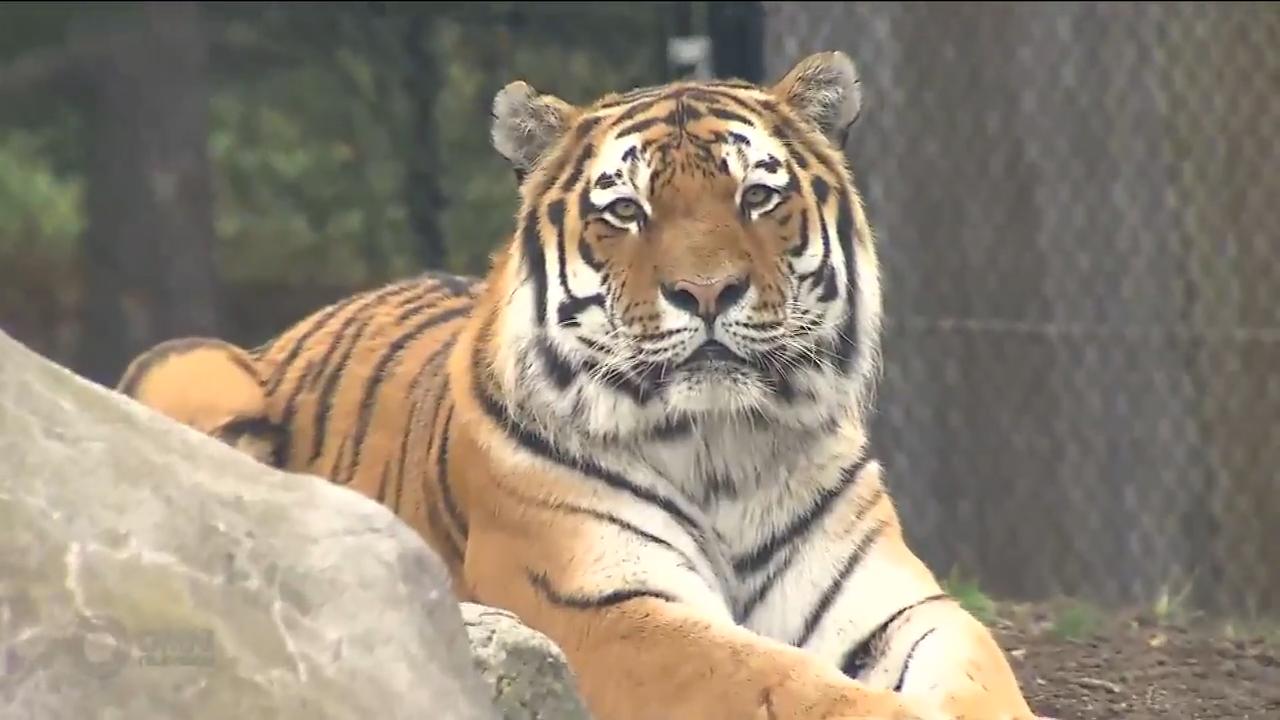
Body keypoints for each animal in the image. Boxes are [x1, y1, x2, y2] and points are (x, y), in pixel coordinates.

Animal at [117, 52, 1041, 720]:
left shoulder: (896, 606)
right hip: (189, 367)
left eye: (757, 196)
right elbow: (783, 685)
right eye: (625, 211)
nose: (708, 292)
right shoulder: (597, 603)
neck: (723, 447)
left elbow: (975, 668)